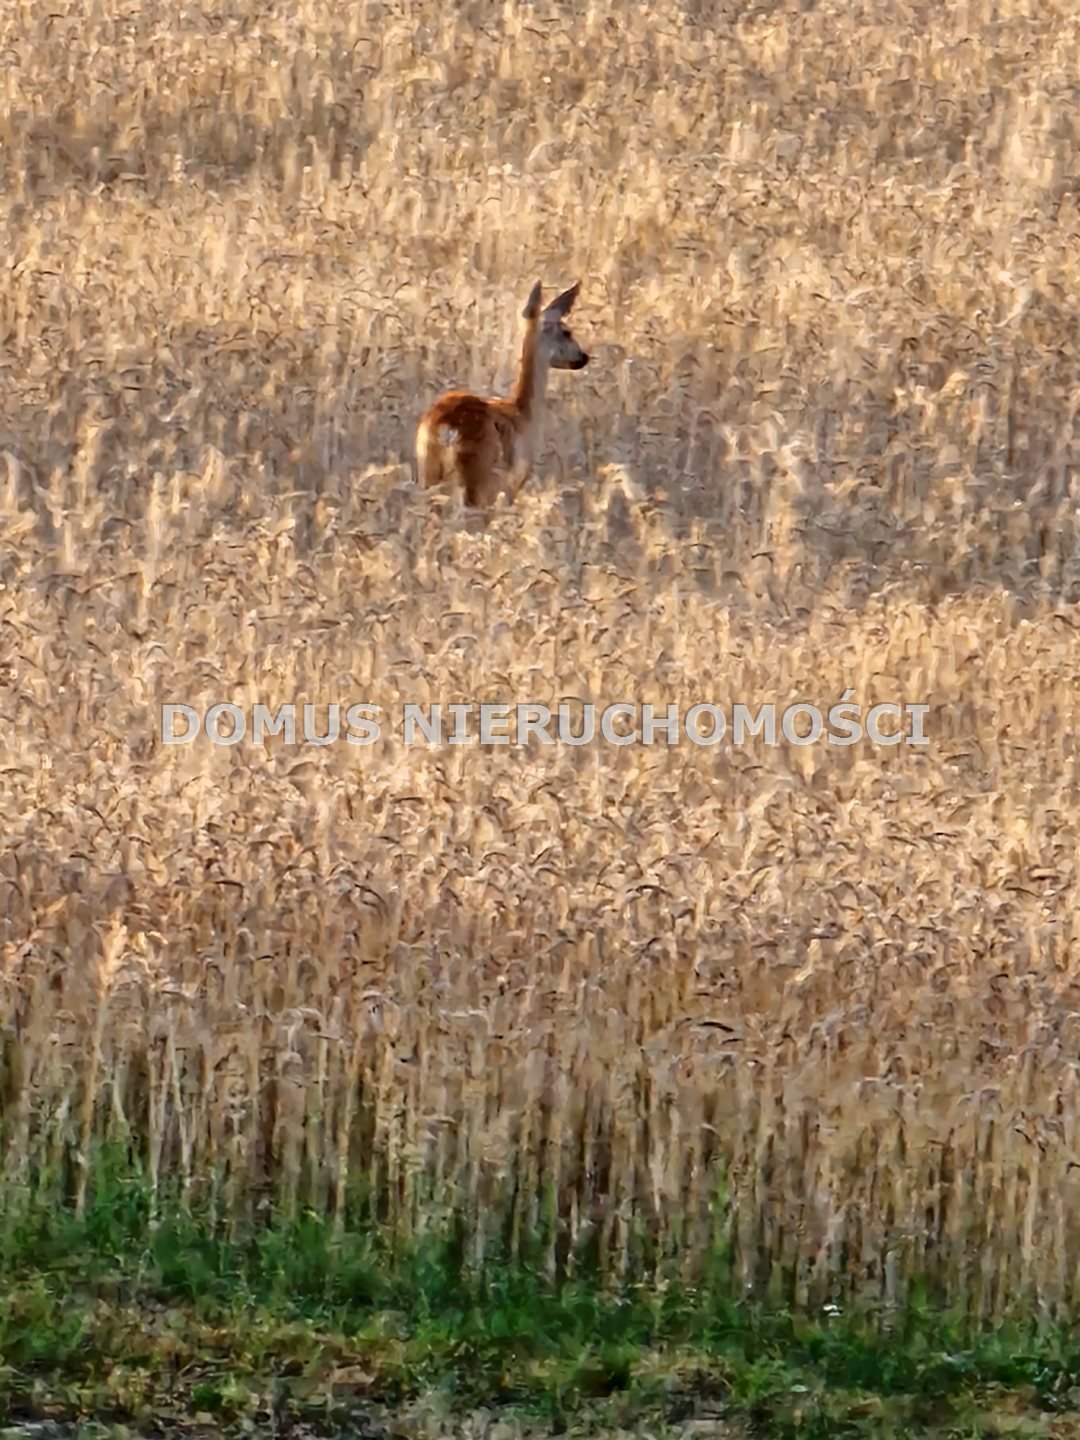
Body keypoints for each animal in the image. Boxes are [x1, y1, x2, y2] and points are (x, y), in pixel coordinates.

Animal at [414, 277, 593, 509]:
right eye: (566, 332)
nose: (583, 357)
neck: (523, 413)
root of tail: (444, 427)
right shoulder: (512, 484)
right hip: (477, 477)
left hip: (428, 471)